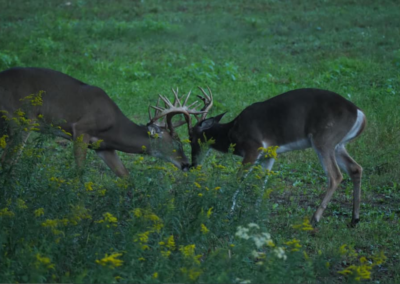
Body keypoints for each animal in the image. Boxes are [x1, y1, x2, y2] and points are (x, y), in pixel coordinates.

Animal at [0, 67, 196, 176]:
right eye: (177, 144)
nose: (187, 165)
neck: (113, 127)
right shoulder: (81, 129)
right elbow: (79, 172)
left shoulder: (103, 147)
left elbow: (126, 176)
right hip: (21, 120)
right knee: (8, 161)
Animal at [187, 87, 366, 227]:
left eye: (191, 138)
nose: (193, 164)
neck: (232, 133)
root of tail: (360, 114)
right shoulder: (268, 155)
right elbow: (262, 182)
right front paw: (256, 212)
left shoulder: (253, 147)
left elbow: (238, 179)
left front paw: (227, 211)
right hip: (338, 145)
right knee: (355, 168)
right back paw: (354, 219)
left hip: (324, 139)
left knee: (335, 176)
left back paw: (314, 219)